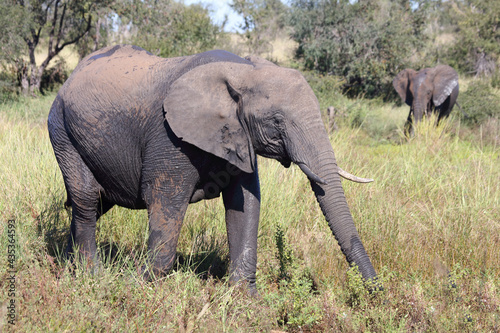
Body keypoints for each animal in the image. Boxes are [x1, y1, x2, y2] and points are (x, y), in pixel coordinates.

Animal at [48, 43, 378, 290]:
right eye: (277, 121)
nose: (376, 291)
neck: (242, 71)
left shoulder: (239, 136)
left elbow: (245, 203)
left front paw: (243, 298)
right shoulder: (168, 134)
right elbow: (166, 202)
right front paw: (136, 286)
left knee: (95, 203)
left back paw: (68, 265)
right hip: (62, 129)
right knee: (86, 197)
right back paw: (91, 276)